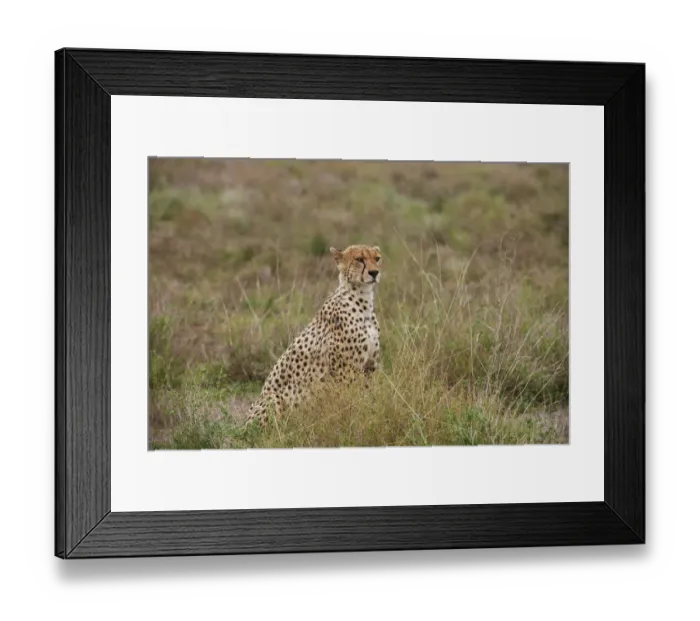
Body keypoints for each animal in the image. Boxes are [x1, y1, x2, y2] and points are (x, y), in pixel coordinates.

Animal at [245, 244, 382, 425]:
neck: (363, 301)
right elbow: (350, 400)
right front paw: (354, 417)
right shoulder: (345, 371)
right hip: (274, 398)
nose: (374, 273)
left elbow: (369, 397)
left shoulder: (369, 367)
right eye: (359, 259)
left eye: (377, 258)